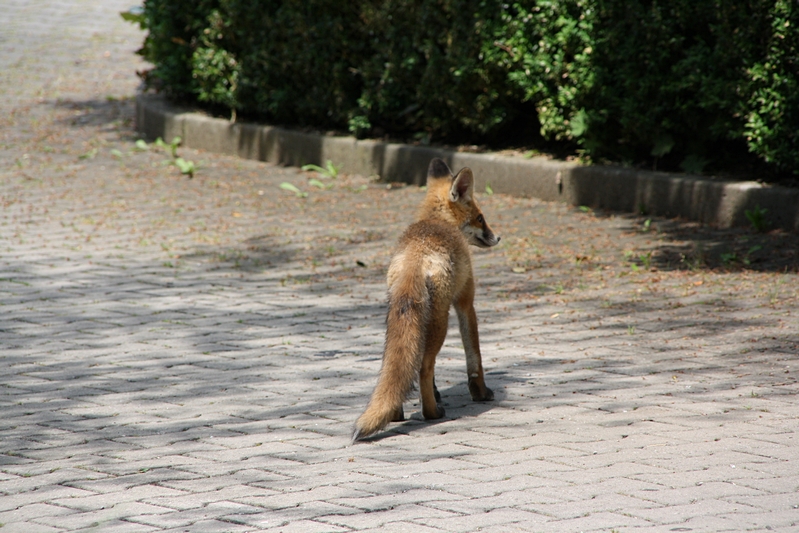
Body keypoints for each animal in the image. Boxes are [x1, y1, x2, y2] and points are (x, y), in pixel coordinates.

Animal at [352, 158, 500, 440]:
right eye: (480, 218)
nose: (498, 237)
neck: (437, 222)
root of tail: (415, 254)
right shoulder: (465, 302)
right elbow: (474, 357)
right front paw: (480, 392)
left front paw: (436, 393)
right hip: (439, 321)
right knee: (423, 367)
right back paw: (432, 412)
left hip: (401, 317)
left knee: (397, 366)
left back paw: (396, 412)